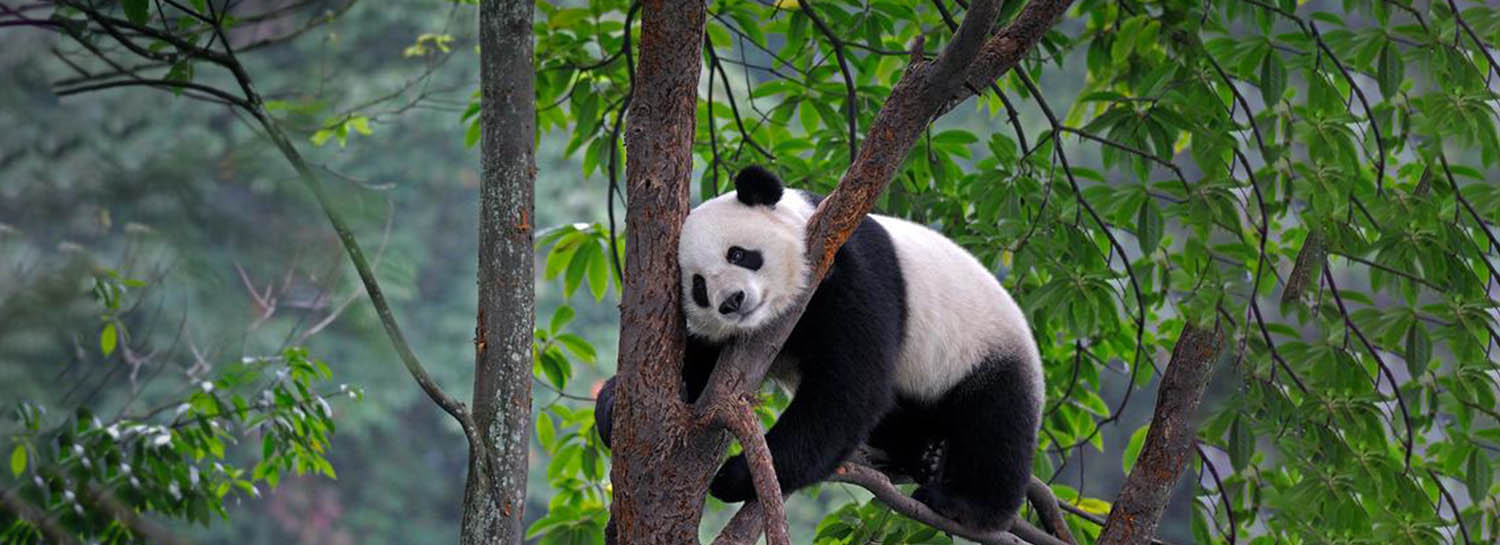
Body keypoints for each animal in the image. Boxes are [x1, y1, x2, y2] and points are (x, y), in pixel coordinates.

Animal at [597, 165, 1044, 532]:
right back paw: (923, 454)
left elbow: (849, 389)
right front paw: (613, 407)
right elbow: (699, 369)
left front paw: (736, 475)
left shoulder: (849, 270)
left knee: (996, 423)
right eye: (699, 287)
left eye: (738, 253)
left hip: (984, 347)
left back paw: (963, 503)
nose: (732, 302)